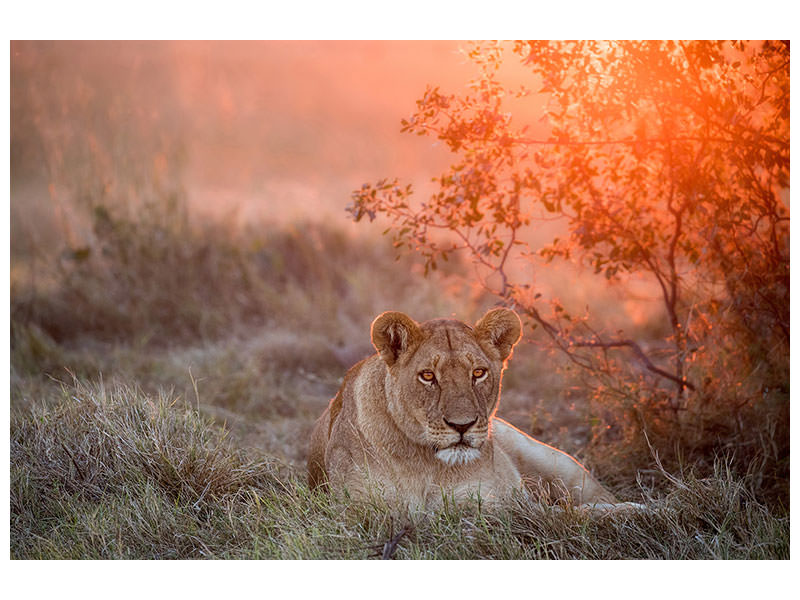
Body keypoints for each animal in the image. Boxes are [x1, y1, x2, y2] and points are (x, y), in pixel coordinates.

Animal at [308, 308, 630, 510]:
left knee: (600, 499)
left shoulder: (496, 502)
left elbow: (574, 515)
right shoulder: (362, 508)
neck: (427, 465)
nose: (461, 426)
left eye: (478, 373)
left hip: (554, 461)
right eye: (428, 376)